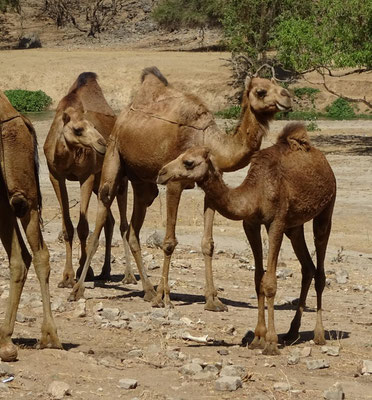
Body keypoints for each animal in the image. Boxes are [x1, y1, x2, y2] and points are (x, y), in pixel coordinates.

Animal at [43, 72, 134, 288]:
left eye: (93, 125)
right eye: (78, 130)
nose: (103, 143)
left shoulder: (86, 176)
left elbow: (83, 227)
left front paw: (84, 271)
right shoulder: (55, 175)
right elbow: (68, 226)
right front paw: (67, 277)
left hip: (120, 179)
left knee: (123, 223)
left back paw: (129, 275)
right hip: (101, 181)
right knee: (110, 221)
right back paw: (105, 272)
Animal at [68, 66, 292, 310]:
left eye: (277, 84)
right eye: (261, 91)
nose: (287, 97)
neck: (207, 140)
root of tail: (123, 116)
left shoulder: (211, 184)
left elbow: (208, 243)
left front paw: (213, 299)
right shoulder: (174, 182)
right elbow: (168, 242)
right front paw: (163, 296)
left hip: (142, 182)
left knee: (133, 231)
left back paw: (147, 290)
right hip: (113, 153)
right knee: (103, 208)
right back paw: (78, 289)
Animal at [157, 122, 338, 356]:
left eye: (188, 162)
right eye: (179, 156)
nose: (161, 173)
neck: (256, 193)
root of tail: (323, 160)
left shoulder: (276, 223)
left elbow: (269, 283)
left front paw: (270, 343)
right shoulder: (250, 224)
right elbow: (257, 279)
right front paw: (257, 338)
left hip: (326, 209)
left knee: (321, 269)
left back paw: (319, 334)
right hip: (295, 226)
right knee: (308, 268)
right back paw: (291, 331)